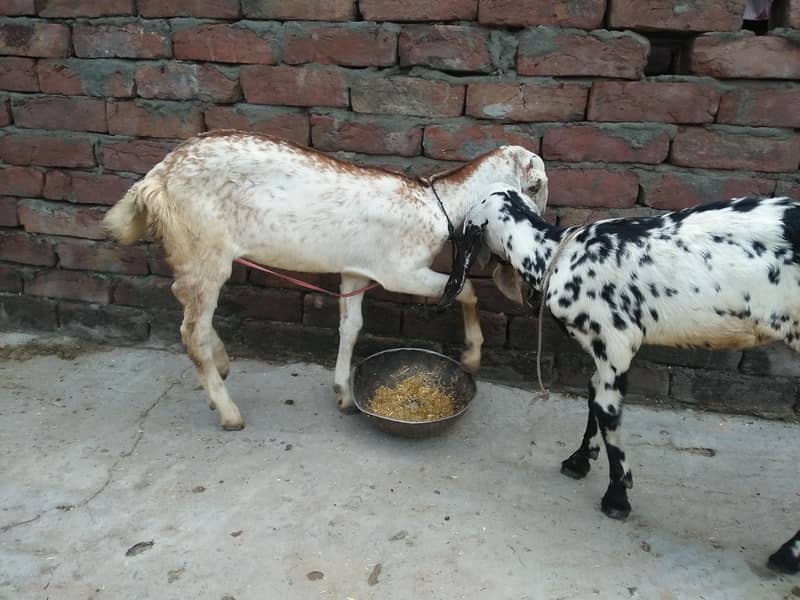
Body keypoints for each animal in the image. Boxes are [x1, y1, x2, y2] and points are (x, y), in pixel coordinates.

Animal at [103, 131, 548, 430]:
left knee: (184, 301)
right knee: (191, 330)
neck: (438, 204)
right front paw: (472, 356)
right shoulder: (400, 270)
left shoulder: (357, 269)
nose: (540, 224)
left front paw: (344, 394)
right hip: (205, 248)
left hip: (192, 253)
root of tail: (155, 179)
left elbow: (351, 326)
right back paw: (228, 412)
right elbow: (466, 290)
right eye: (536, 184)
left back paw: (223, 365)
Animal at [439, 186, 800, 574]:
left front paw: (616, 497)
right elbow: (591, 395)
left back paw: (787, 555)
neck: (558, 254)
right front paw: (579, 461)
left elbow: (606, 410)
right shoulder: (601, 350)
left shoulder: (617, 341)